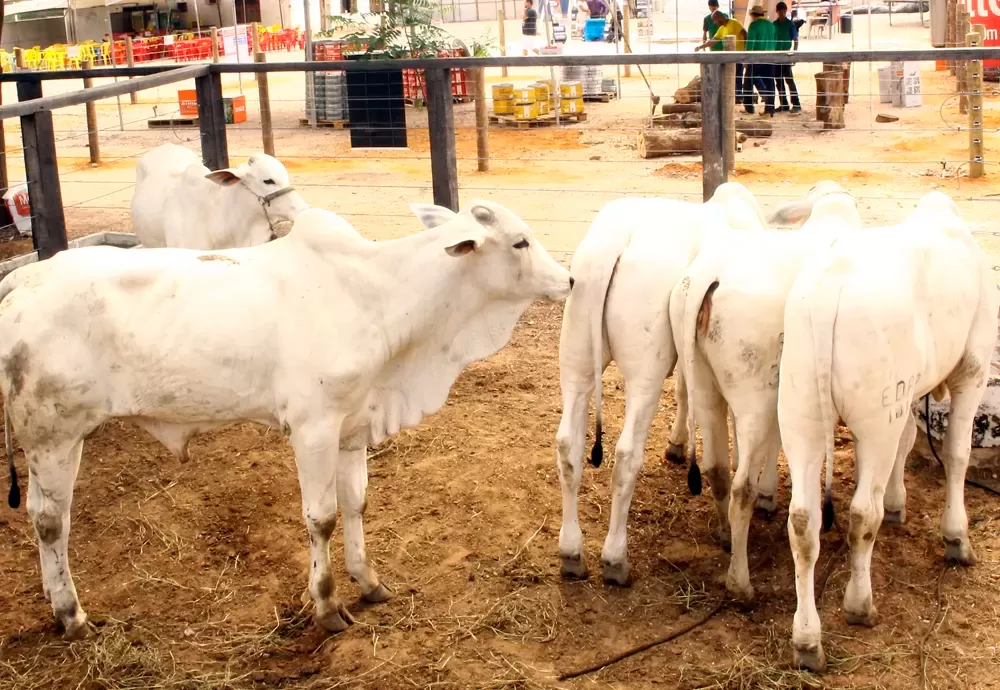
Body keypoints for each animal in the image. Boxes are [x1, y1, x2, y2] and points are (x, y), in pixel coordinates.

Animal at [0, 200, 572, 640]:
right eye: (519, 242)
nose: (568, 278)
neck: (381, 296)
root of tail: (24, 278)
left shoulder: (352, 426)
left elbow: (356, 504)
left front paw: (369, 582)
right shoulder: (313, 427)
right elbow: (322, 518)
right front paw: (327, 606)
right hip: (53, 434)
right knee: (50, 521)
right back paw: (71, 615)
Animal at [664, 181, 860, 600]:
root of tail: (708, 278)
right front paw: (769, 493)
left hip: (705, 380)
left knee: (717, 468)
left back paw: (726, 536)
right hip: (755, 391)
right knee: (740, 489)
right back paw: (741, 583)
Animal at [776, 191, 996, 668]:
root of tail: (829, 290)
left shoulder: (907, 393)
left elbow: (908, 442)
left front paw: (898, 503)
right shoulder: (972, 367)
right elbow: (956, 454)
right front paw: (957, 537)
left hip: (801, 412)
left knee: (802, 522)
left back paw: (807, 640)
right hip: (876, 414)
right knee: (862, 514)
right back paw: (860, 605)